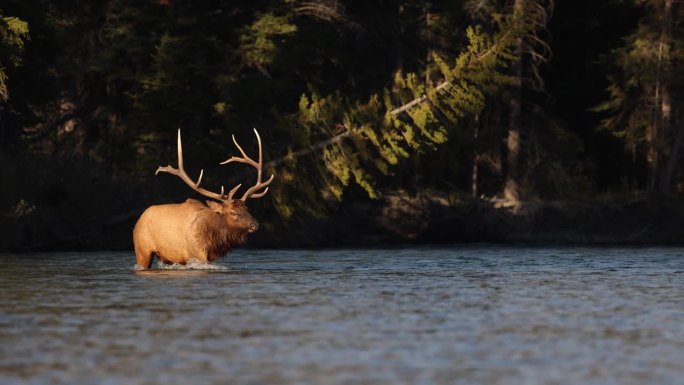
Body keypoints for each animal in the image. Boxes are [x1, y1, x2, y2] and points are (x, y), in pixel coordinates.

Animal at [132, 127, 274, 268]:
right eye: (232, 212)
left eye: (247, 208)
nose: (255, 224)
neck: (212, 240)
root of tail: (140, 218)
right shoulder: (196, 255)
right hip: (142, 249)